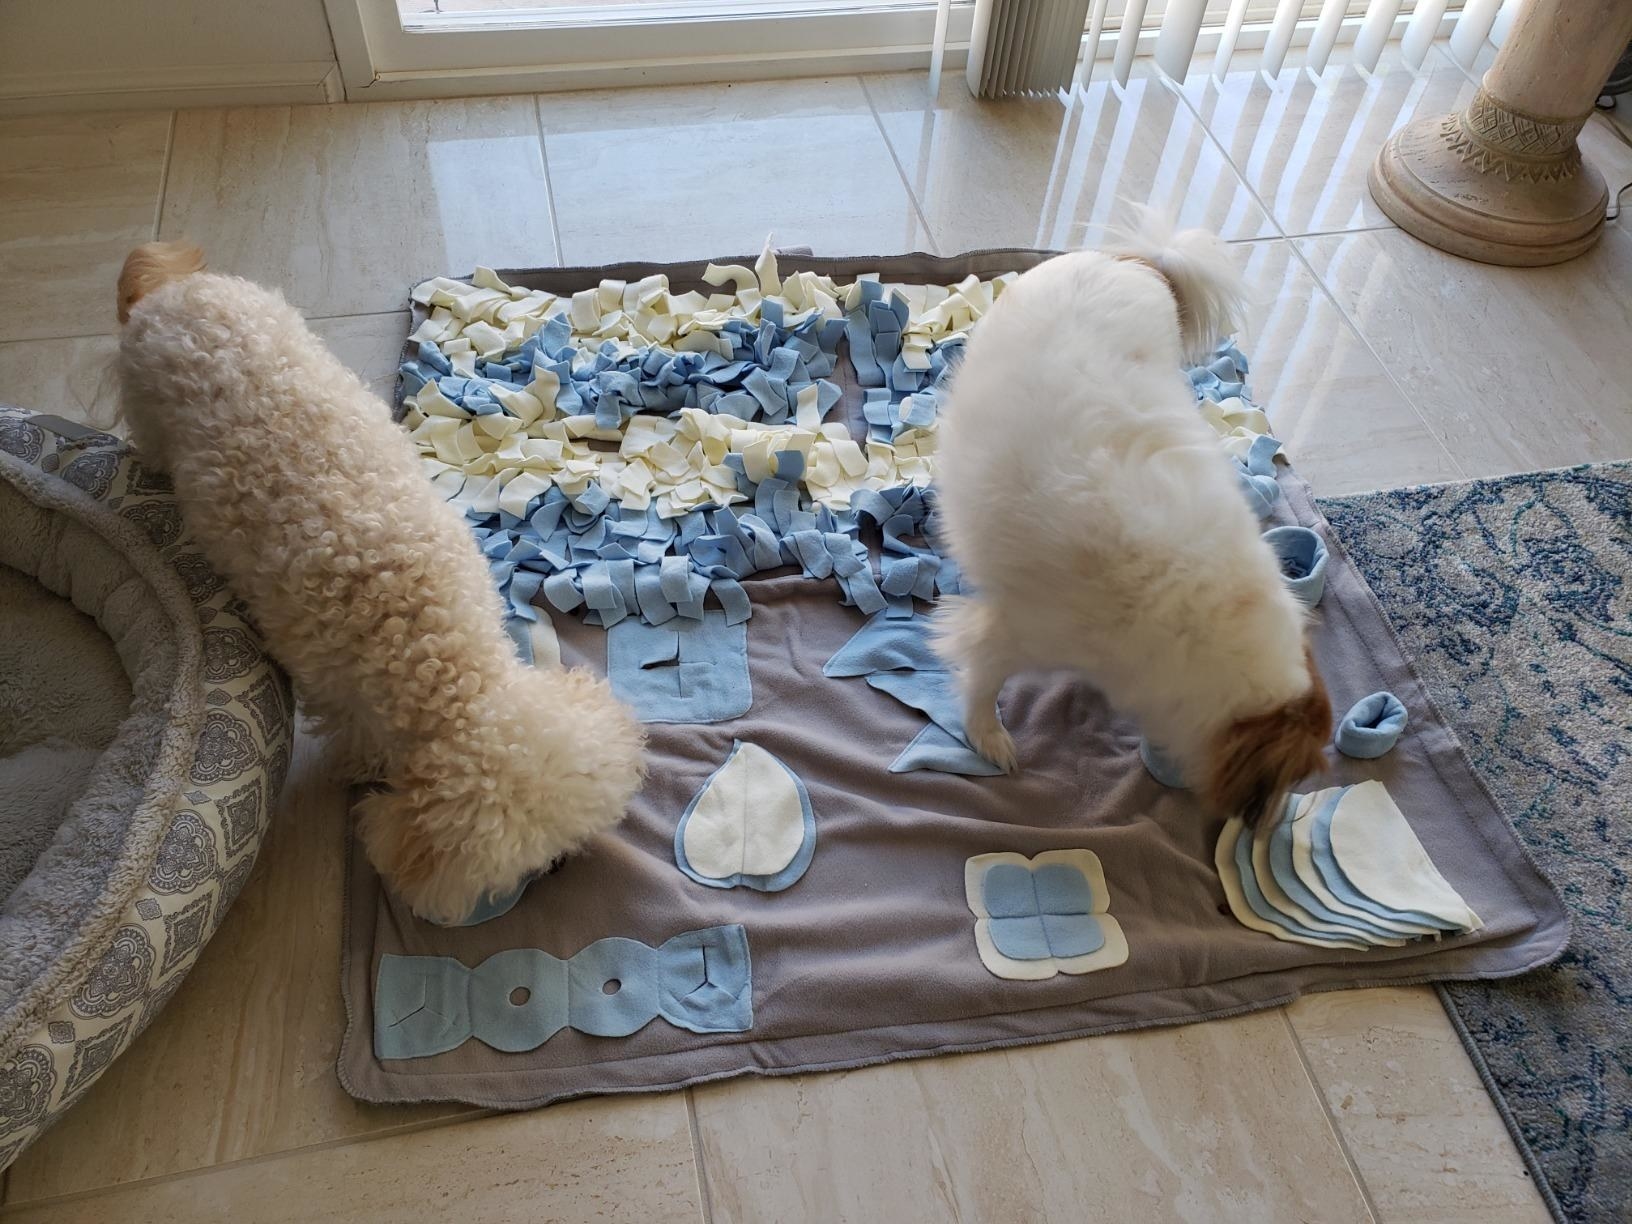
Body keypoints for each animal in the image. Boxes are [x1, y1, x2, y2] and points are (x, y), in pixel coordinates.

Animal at [116, 244, 643, 926]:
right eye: (529, 862)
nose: (558, 868)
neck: (431, 645)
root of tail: (175, 289)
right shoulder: (337, 689)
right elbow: (355, 739)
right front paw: (358, 767)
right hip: (147, 409)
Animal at [933, 220, 1325, 829]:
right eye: (1286, 780)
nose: (1267, 821)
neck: (1194, 613)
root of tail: (1137, 263)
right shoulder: (1012, 632)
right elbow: (981, 682)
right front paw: (990, 738)